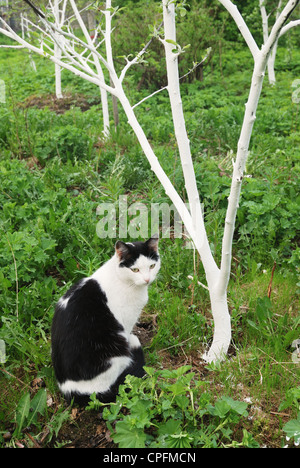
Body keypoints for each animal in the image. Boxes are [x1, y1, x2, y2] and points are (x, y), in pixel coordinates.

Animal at [50, 238, 161, 406]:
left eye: (152, 266)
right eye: (135, 270)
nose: (147, 279)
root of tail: (73, 391)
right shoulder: (125, 323)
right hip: (115, 353)